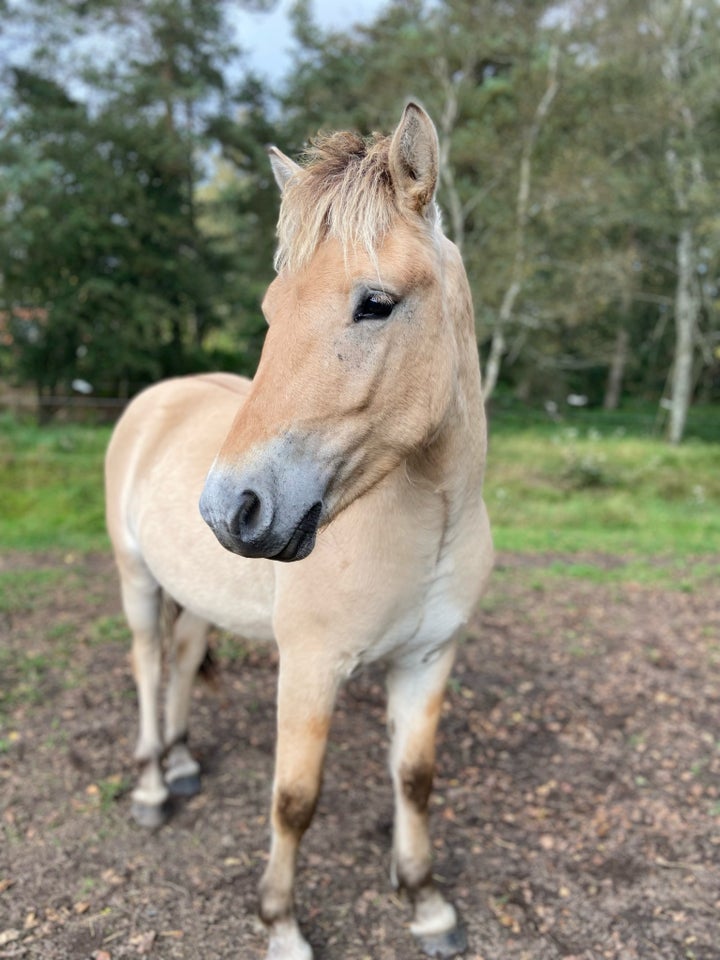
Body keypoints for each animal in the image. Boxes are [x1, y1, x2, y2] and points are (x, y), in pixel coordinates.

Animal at [104, 103, 492, 960]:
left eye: (374, 303)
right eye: (271, 313)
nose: (231, 507)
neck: (425, 523)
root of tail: (160, 397)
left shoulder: (428, 659)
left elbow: (415, 780)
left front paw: (427, 903)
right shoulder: (311, 667)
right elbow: (295, 797)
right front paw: (280, 924)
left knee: (182, 660)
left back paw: (182, 765)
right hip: (137, 579)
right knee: (148, 664)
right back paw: (151, 786)